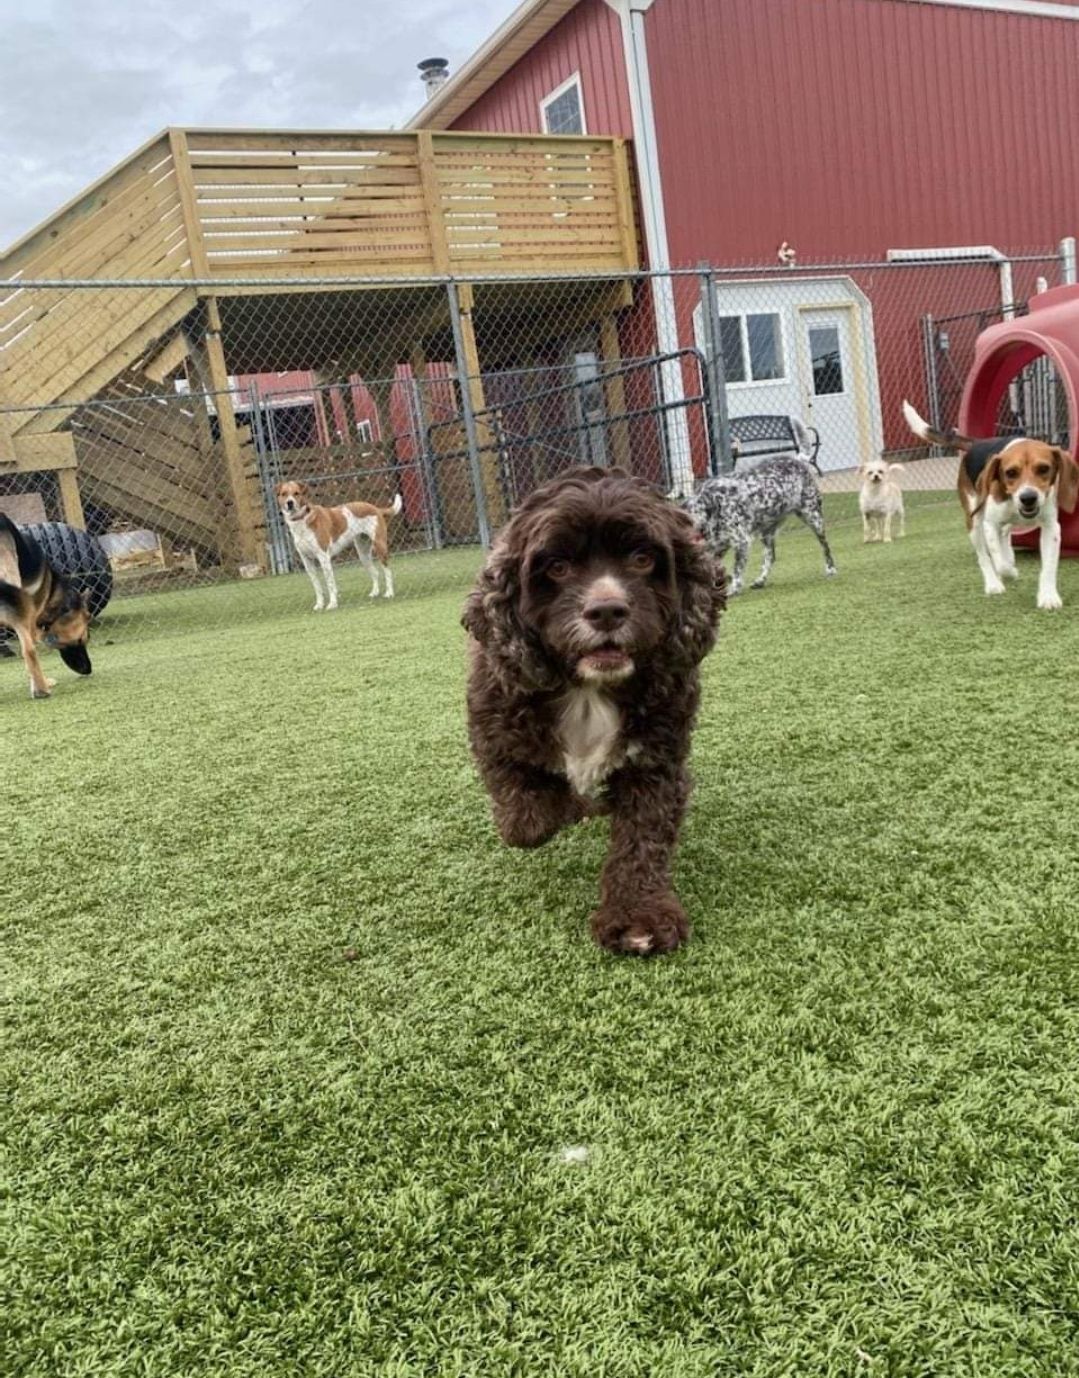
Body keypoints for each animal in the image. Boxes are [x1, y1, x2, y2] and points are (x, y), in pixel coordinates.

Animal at [274, 485, 399, 614]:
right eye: (284, 494)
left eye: (296, 493)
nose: (289, 503)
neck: (302, 519)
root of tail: (375, 508)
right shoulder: (307, 562)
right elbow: (317, 586)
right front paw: (319, 605)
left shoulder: (323, 558)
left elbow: (330, 584)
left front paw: (332, 604)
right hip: (363, 553)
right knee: (375, 572)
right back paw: (375, 592)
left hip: (380, 547)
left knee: (388, 571)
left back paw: (389, 593)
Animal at [689, 460, 837, 595]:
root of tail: (798, 461)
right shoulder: (717, 548)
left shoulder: (741, 542)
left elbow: (736, 571)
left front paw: (734, 588)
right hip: (767, 533)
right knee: (770, 557)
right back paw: (760, 581)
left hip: (813, 518)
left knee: (826, 547)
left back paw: (831, 569)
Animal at [903, 402, 1079, 611]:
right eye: (1010, 473)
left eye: (1044, 469)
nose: (1028, 498)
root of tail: (976, 443)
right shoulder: (990, 524)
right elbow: (998, 562)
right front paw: (1009, 572)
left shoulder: (1051, 527)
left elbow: (1049, 567)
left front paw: (1048, 597)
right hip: (974, 523)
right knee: (984, 557)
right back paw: (993, 583)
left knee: (1004, 537)